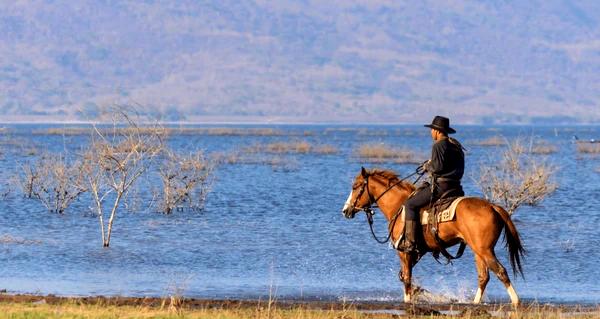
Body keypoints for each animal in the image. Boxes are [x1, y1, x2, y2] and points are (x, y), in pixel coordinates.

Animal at [342, 168, 524, 304]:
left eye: (355, 186)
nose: (345, 210)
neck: (399, 205)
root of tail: (493, 207)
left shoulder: (404, 251)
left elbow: (406, 277)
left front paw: (408, 300)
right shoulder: (418, 252)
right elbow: (403, 276)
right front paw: (418, 292)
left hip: (485, 250)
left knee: (500, 271)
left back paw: (516, 301)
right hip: (478, 251)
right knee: (484, 277)